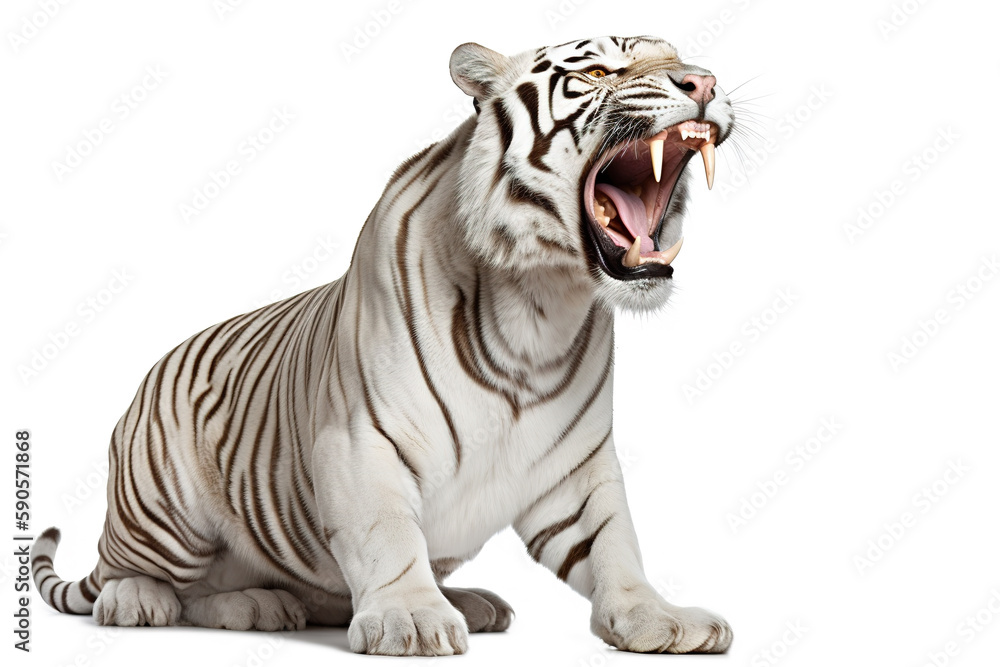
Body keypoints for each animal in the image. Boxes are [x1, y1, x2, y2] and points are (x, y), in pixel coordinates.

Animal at [31, 35, 736, 655]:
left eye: (680, 58)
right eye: (598, 73)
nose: (703, 83)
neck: (540, 300)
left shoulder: (576, 466)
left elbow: (613, 542)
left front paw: (660, 619)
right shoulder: (362, 439)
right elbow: (389, 536)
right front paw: (413, 621)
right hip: (163, 512)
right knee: (151, 582)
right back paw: (152, 600)